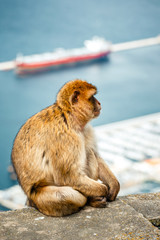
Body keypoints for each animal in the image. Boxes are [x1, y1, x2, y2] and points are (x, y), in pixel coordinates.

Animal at [11, 79, 119, 217]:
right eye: (92, 97)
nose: (99, 103)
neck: (70, 117)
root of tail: (30, 200)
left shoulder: (86, 129)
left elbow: (95, 154)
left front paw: (114, 184)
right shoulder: (64, 137)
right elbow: (67, 177)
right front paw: (103, 189)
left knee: (88, 151)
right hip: (39, 197)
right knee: (67, 196)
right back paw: (91, 199)